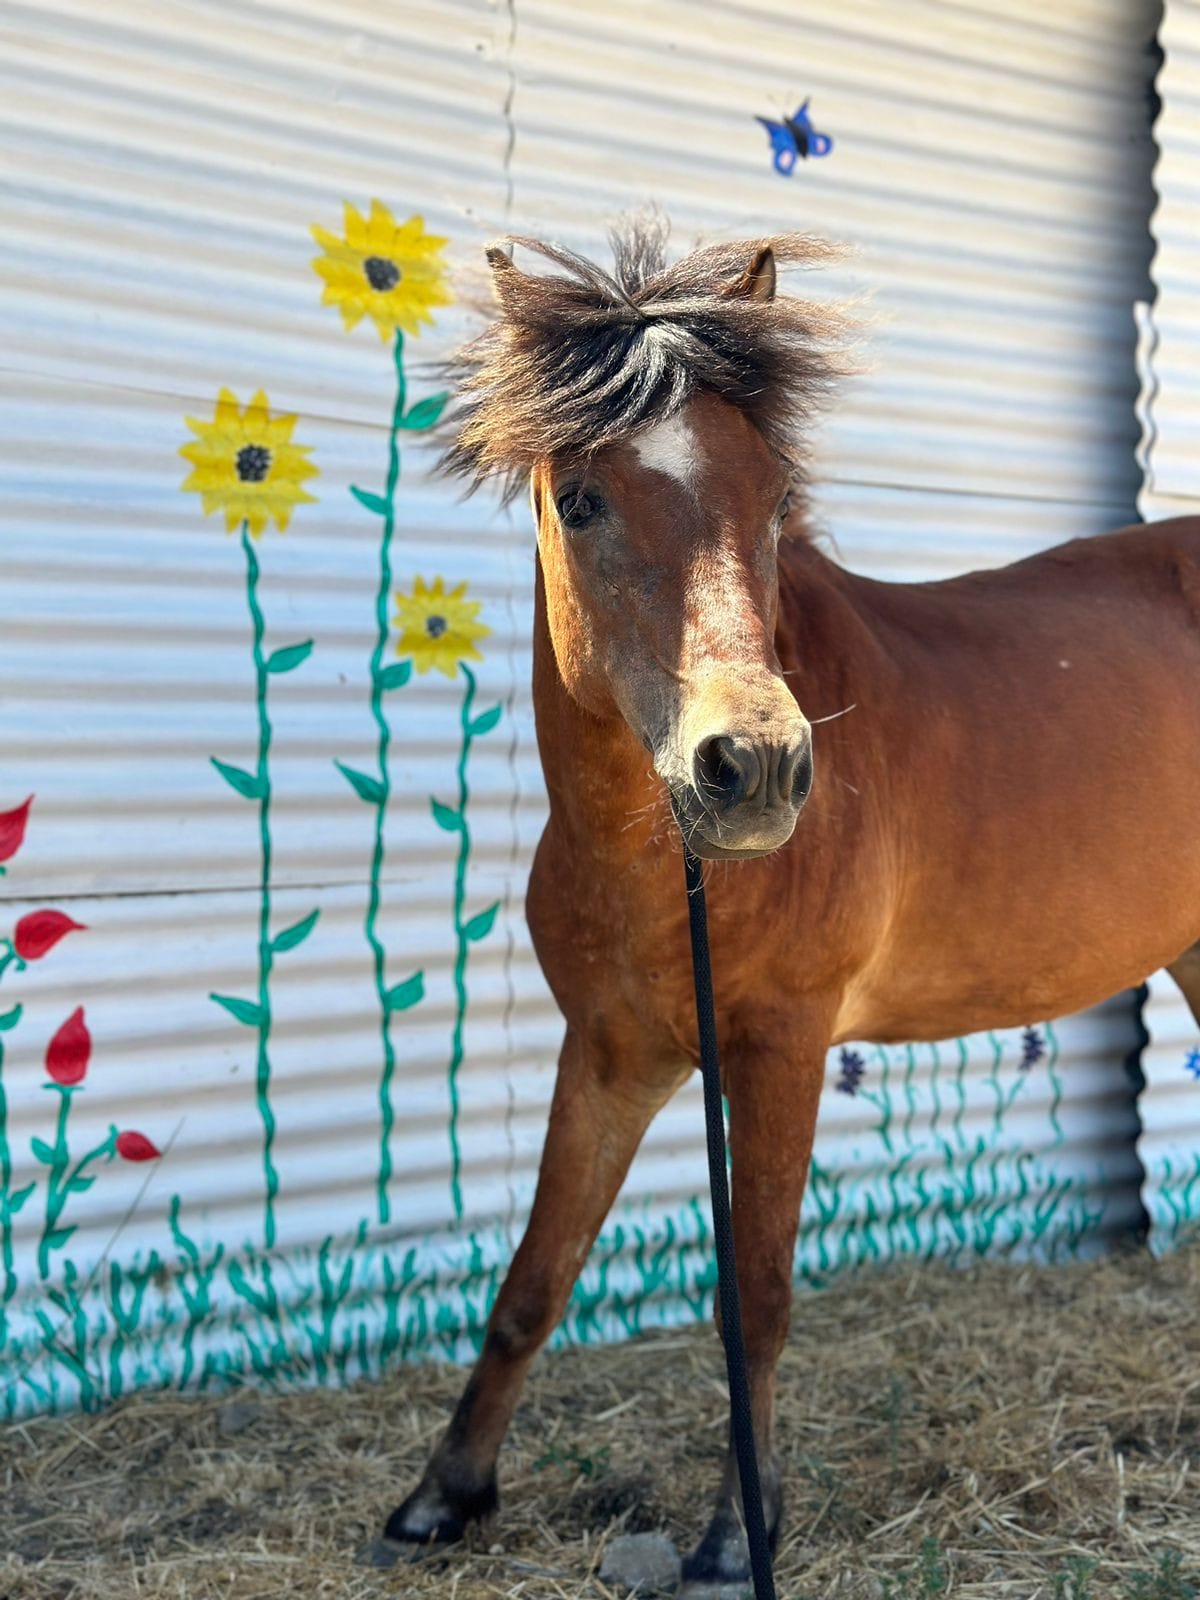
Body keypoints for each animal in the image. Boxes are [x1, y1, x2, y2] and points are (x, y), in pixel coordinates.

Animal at [386, 219, 1200, 1593]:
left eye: (772, 498)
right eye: (583, 497)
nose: (754, 766)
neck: (662, 865)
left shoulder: (780, 1050)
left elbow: (753, 1298)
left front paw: (734, 1536)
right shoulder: (608, 1052)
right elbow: (534, 1277)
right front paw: (444, 1494)